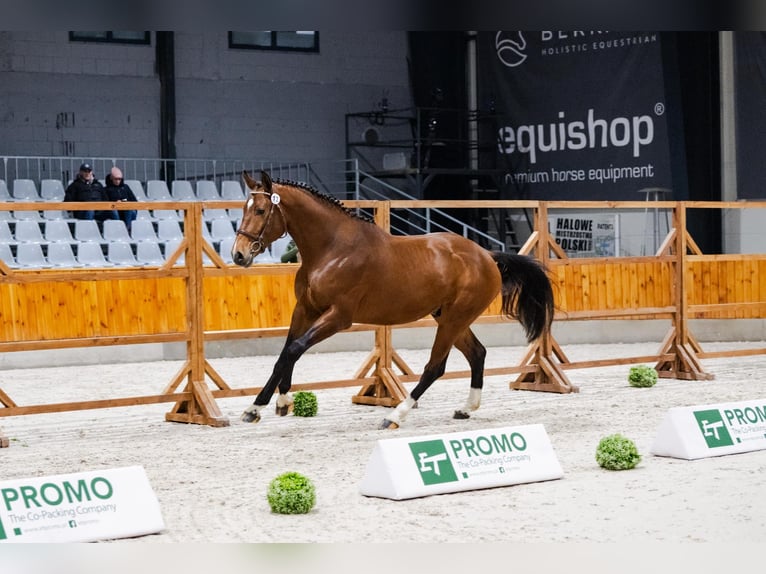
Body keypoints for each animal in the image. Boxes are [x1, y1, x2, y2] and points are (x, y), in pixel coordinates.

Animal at [231, 170, 554, 429]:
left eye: (261, 210)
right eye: (245, 209)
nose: (238, 255)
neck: (333, 249)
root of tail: (487, 255)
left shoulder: (338, 317)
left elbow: (294, 349)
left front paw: (262, 406)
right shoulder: (306, 309)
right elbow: (286, 352)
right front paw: (271, 404)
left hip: (453, 320)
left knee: (435, 367)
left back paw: (395, 416)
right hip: (451, 318)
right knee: (477, 354)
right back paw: (465, 409)